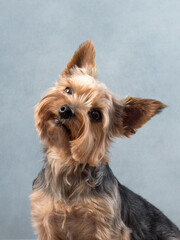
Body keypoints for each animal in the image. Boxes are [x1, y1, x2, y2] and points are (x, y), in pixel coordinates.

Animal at [29, 40, 180, 239]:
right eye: (68, 90)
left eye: (95, 114)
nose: (66, 110)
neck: (66, 161)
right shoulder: (47, 220)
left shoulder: (107, 227)